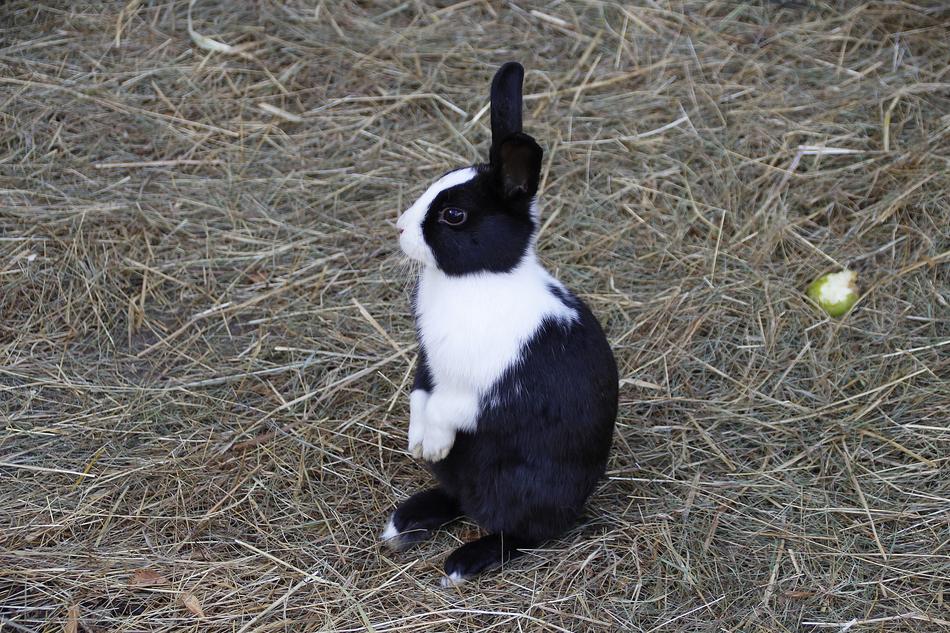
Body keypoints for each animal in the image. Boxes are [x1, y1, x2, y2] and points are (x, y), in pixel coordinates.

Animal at [384, 62, 618, 586]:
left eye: (453, 215)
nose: (400, 228)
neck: (479, 278)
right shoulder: (429, 365)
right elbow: (419, 396)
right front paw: (417, 444)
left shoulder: (488, 389)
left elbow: (449, 410)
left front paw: (430, 444)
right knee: (459, 500)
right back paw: (406, 520)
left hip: (525, 489)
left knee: (524, 533)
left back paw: (463, 562)